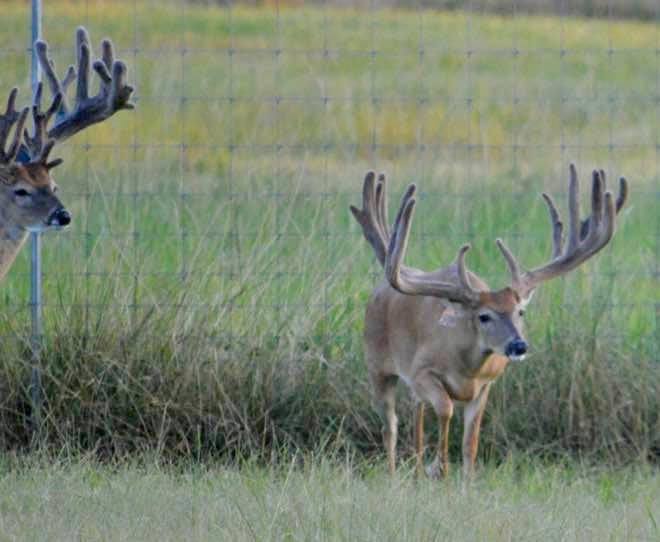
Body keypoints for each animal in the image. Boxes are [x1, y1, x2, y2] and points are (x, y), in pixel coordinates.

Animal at [350, 166, 628, 479]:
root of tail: (379, 290)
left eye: (520, 312)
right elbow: (445, 409)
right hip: (377, 365)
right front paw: (440, 467)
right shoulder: (422, 372)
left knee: (415, 415)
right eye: (484, 316)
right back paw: (395, 474)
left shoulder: (485, 386)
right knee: (391, 426)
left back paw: (418, 472)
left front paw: (464, 480)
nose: (519, 345)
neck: (466, 368)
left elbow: (470, 444)